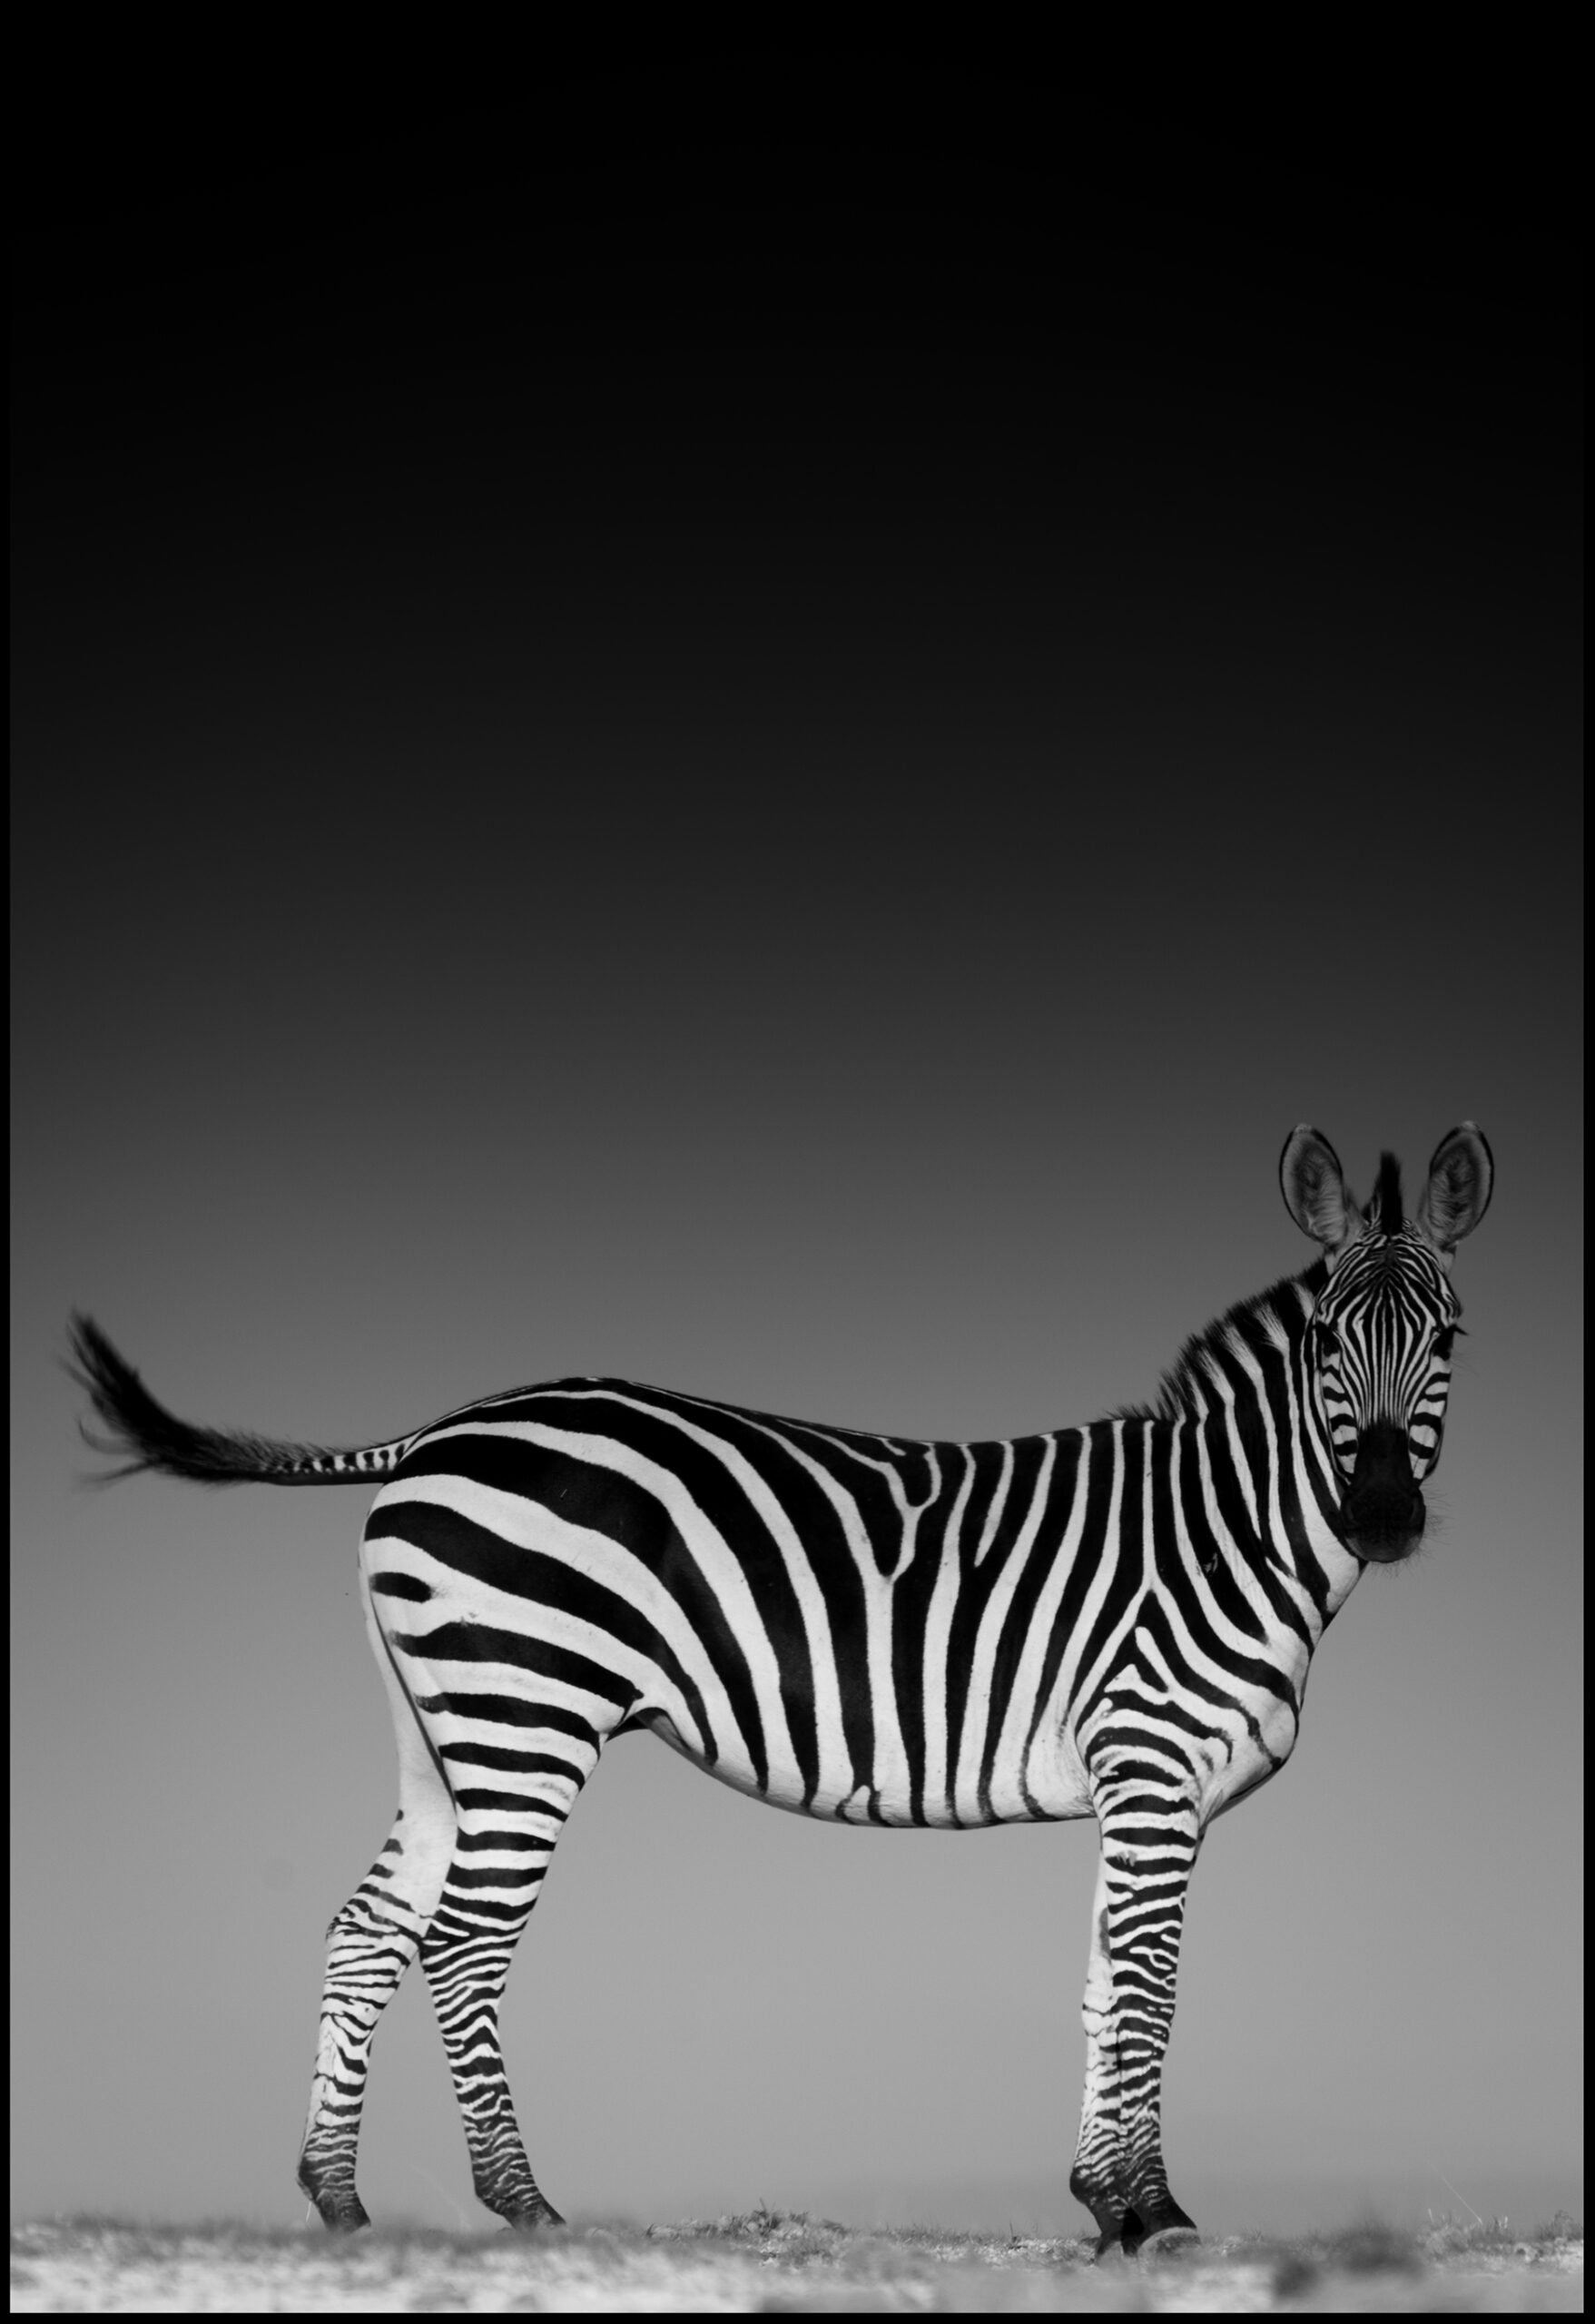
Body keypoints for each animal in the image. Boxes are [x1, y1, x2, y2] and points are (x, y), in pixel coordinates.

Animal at [70, 1122, 1492, 2253]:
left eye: (1448, 1336)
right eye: (1326, 1339)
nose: (1380, 1516)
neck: (1229, 1524)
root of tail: (434, 1430)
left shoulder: (1134, 1787)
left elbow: (1100, 1985)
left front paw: (1104, 2205)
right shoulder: (1152, 1765)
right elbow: (1151, 1986)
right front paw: (1152, 2215)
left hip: (442, 1730)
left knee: (366, 1930)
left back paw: (340, 2202)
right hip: (530, 1708)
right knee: (465, 1943)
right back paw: (525, 2207)